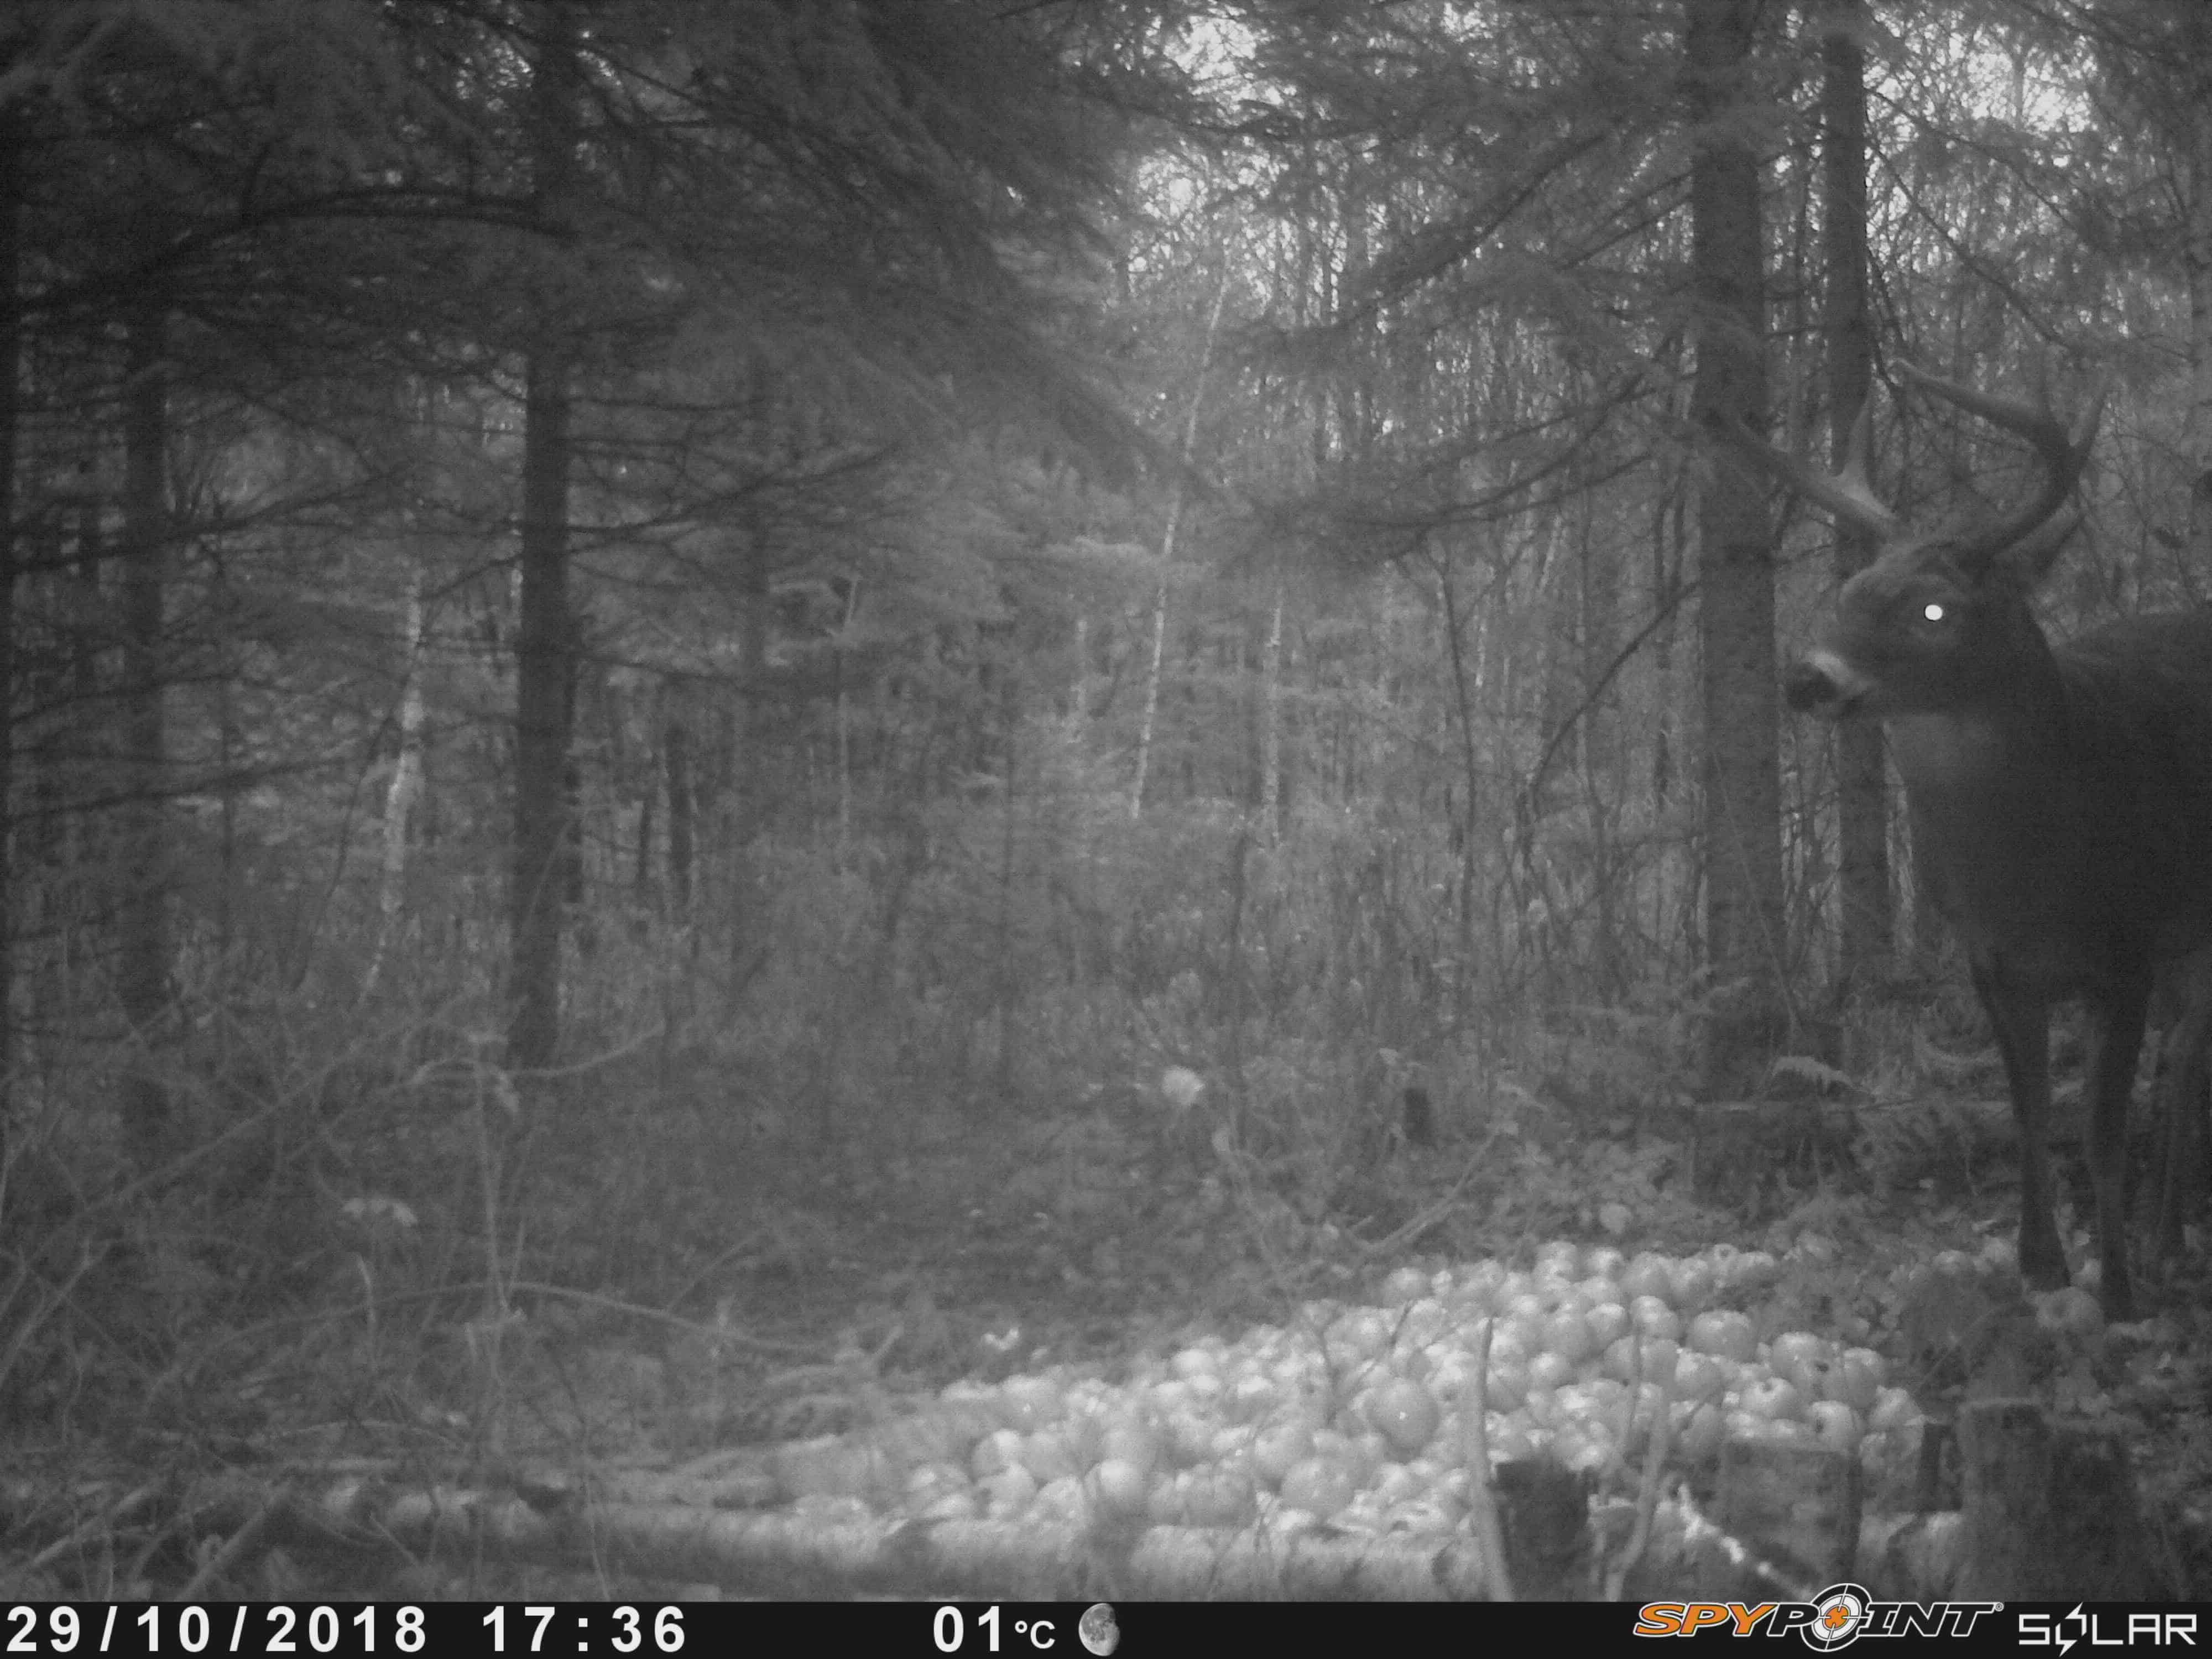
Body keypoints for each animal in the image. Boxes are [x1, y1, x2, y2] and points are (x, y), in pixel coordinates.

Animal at [1725, 367, 2212, 1327]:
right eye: (1848, 593)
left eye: (1934, 607)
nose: (1807, 678)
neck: (2036, 862)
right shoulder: (1990, 961)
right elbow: (2030, 1110)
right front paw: (2042, 1264)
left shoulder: (2127, 951)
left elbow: (2101, 1126)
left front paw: (2120, 1292)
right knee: (2187, 1054)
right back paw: (2163, 1231)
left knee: (2186, 1059)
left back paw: (2162, 1243)